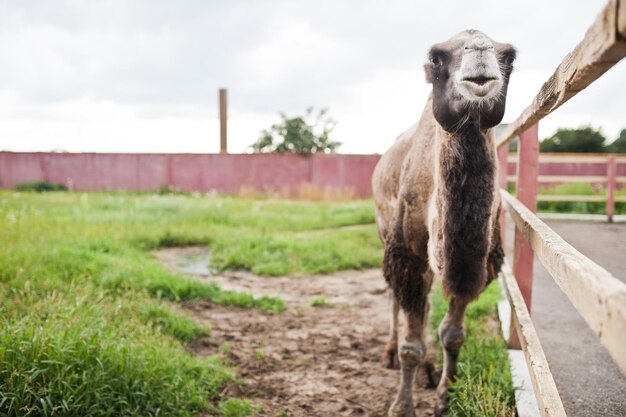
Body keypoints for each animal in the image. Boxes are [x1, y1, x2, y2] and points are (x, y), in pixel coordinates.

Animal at [370, 30, 512, 416]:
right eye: (436, 56)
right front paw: (402, 407)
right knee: (396, 300)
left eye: (509, 56)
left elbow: (453, 333)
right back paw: (389, 352)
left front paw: (445, 396)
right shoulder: (406, 254)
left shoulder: (474, 266)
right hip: (384, 229)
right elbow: (411, 345)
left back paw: (430, 371)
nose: (480, 50)